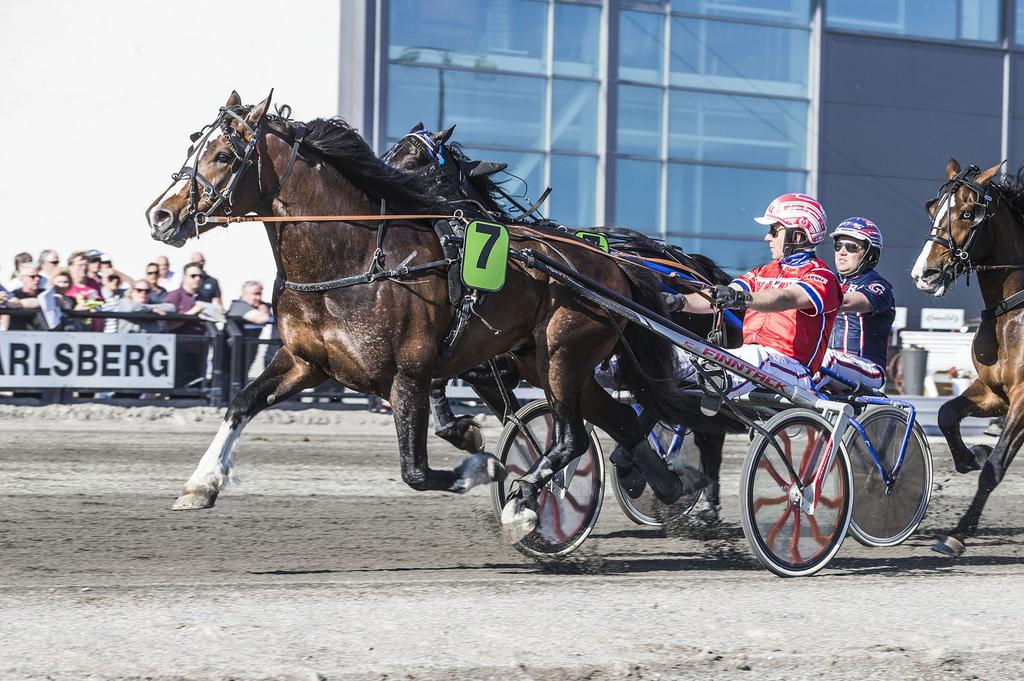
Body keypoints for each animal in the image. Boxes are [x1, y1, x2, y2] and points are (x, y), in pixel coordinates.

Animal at [146, 91, 704, 536]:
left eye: (223, 154)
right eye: (193, 147)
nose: (160, 215)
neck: (353, 260)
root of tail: (612, 265)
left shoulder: (411, 372)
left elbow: (417, 469)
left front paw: (484, 466)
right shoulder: (308, 361)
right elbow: (241, 403)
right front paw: (200, 484)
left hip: (564, 353)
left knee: (571, 438)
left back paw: (528, 501)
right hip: (545, 362)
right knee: (620, 421)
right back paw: (669, 485)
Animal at [913, 159, 1024, 557]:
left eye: (966, 213)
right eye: (932, 208)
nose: (925, 274)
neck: (1011, 315)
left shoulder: (1022, 399)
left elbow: (995, 466)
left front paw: (957, 534)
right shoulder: (995, 393)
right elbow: (946, 414)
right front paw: (972, 454)